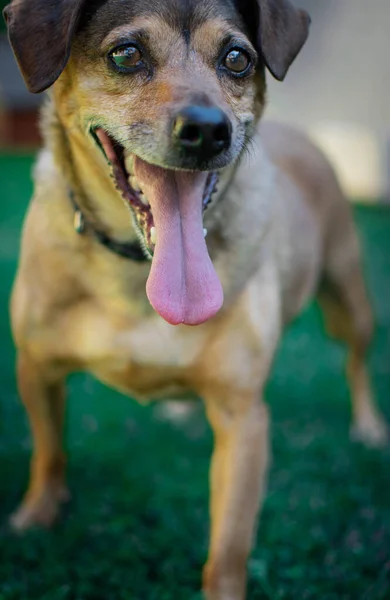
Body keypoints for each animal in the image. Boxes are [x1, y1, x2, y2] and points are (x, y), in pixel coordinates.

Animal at [3, 0, 390, 596]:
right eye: (126, 54)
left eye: (237, 58)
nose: (209, 131)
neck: (138, 273)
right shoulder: (35, 367)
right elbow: (48, 452)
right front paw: (38, 513)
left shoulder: (242, 417)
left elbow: (228, 545)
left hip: (347, 297)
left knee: (357, 359)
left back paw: (369, 426)